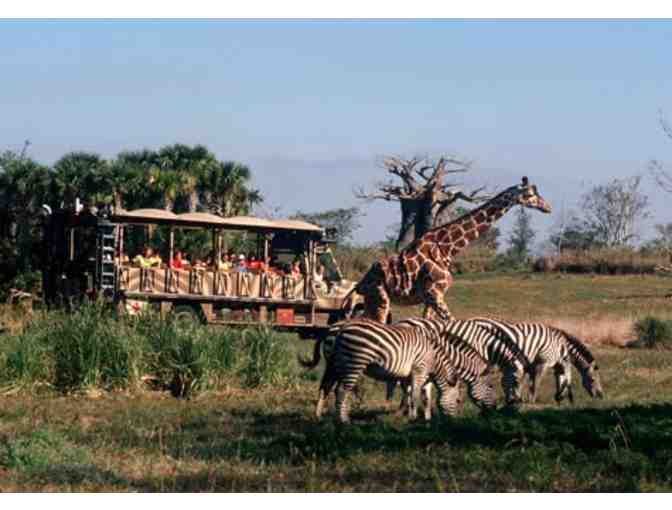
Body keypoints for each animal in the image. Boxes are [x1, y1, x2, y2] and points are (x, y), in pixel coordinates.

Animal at [299, 318, 496, 423]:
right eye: (458, 400)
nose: (492, 411)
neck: (436, 354)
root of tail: (339, 328)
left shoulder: (413, 375)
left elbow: (416, 395)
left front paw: (419, 416)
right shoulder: (420, 370)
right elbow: (416, 395)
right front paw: (415, 418)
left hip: (334, 364)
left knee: (325, 388)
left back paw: (319, 416)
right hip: (354, 362)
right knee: (342, 390)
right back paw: (344, 420)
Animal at [344, 177, 551, 322]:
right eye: (531, 194)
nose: (548, 207)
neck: (447, 248)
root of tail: (359, 284)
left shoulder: (431, 297)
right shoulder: (434, 294)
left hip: (371, 302)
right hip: (380, 298)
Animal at [471, 317, 604, 404]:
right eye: (593, 379)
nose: (601, 396)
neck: (560, 345)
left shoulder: (541, 365)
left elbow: (556, 379)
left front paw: (558, 397)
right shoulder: (542, 362)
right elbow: (536, 383)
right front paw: (531, 400)